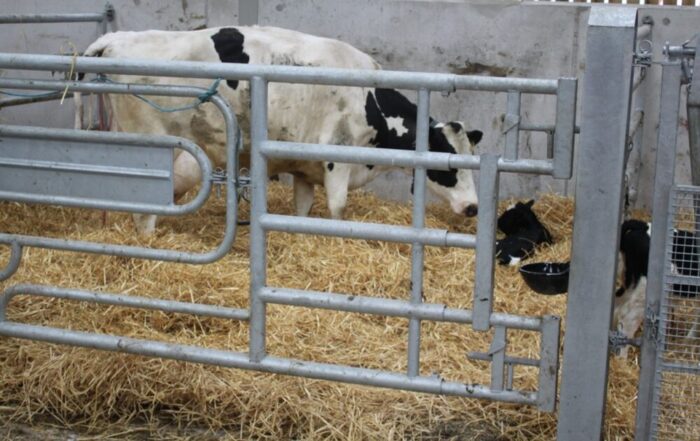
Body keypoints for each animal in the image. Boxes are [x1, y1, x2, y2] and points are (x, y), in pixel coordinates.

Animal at [77, 26, 483, 235]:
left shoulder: (304, 166)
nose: (473, 207)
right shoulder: (337, 159)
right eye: (448, 165)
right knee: (144, 208)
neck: (369, 102)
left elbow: (302, 210)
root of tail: (116, 38)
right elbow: (338, 209)